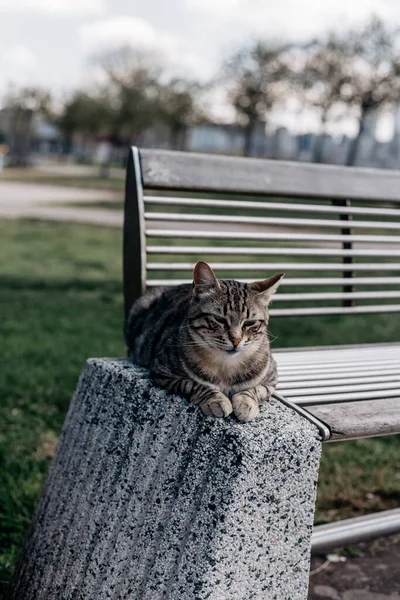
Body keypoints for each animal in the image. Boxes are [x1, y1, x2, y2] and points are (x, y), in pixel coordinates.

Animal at [125, 262, 284, 422]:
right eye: (219, 319)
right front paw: (216, 400)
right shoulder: (162, 372)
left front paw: (246, 402)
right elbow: (194, 384)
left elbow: (254, 389)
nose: (236, 340)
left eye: (249, 323)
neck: (226, 366)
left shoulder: (271, 380)